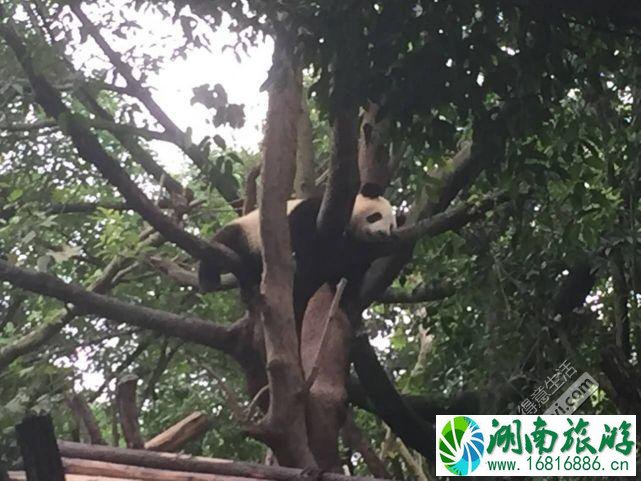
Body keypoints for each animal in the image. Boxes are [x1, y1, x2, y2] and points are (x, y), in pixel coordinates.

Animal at [198, 183, 396, 316]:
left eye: (391, 227)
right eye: (375, 216)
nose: (382, 234)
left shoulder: (354, 255)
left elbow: (347, 274)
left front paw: (346, 300)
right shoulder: (320, 209)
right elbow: (301, 228)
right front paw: (305, 257)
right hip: (247, 232)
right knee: (223, 242)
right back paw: (209, 279)